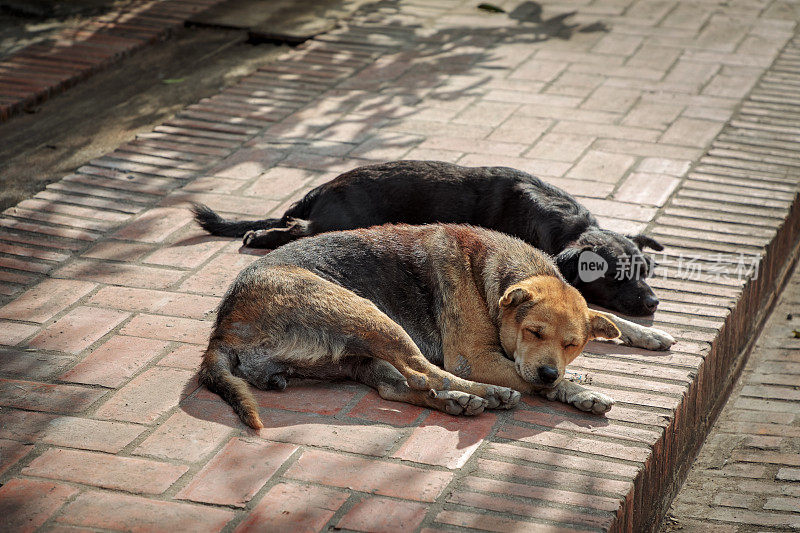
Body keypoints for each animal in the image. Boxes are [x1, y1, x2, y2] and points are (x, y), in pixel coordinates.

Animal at [192, 158, 664, 316]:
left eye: (646, 271)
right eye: (613, 277)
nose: (654, 303)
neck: (568, 226)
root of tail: (326, 186)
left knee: (293, 227)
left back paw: (259, 234)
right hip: (341, 224)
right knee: (298, 231)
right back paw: (260, 236)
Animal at [202, 221, 676, 428]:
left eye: (574, 344)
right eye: (534, 332)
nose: (548, 369)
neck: (491, 278)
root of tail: (222, 328)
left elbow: (607, 319)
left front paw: (648, 333)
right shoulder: (477, 358)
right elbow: (536, 379)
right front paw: (579, 389)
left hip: (358, 354)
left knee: (399, 387)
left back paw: (458, 403)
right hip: (369, 315)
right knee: (425, 372)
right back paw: (486, 395)